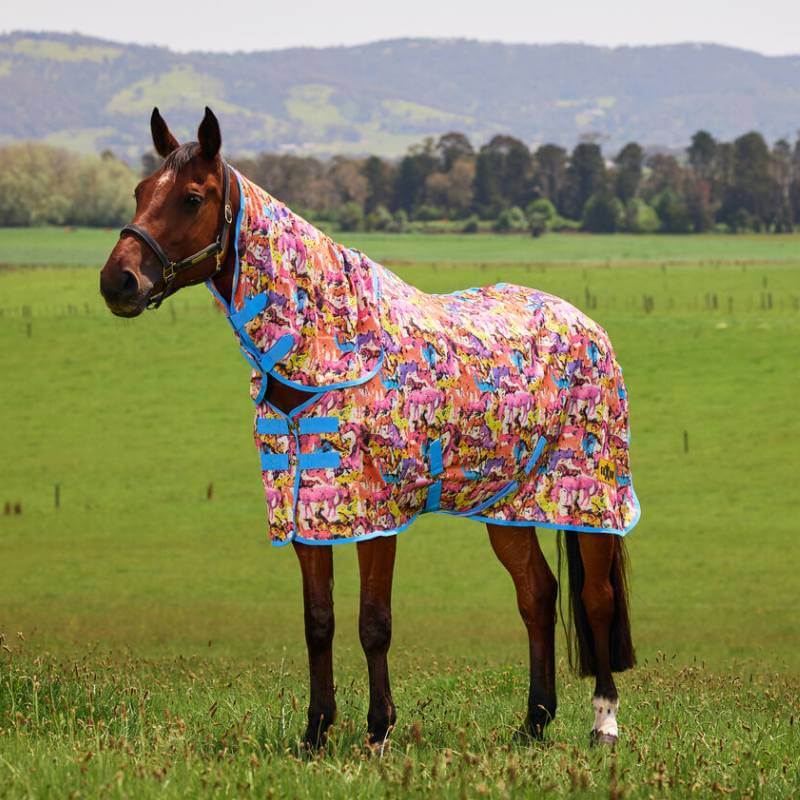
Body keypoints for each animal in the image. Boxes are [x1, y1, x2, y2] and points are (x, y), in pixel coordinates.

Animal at [100, 107, 638, 751]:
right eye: (139, 191)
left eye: (191, 197)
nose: (118, 282)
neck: (328, 350)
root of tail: (588, 325)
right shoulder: (306, 509)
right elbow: (319, 622)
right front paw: (315, 732)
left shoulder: (375, 516)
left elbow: (373, 622)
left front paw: (378, 730)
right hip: (506, 506)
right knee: (537, 594)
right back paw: (534, 721)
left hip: (590, 498)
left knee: (596, 599)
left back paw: (604, 723)